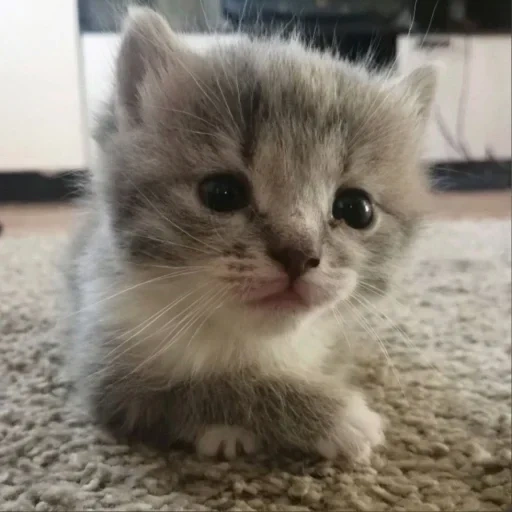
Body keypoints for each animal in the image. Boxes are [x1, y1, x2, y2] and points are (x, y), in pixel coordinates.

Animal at [65, 7, 436, 464]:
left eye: (356, 209)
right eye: (222, 193)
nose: (297, 254)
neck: (251, 342)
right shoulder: (112, 379)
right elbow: (210, 386)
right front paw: (336, 416)